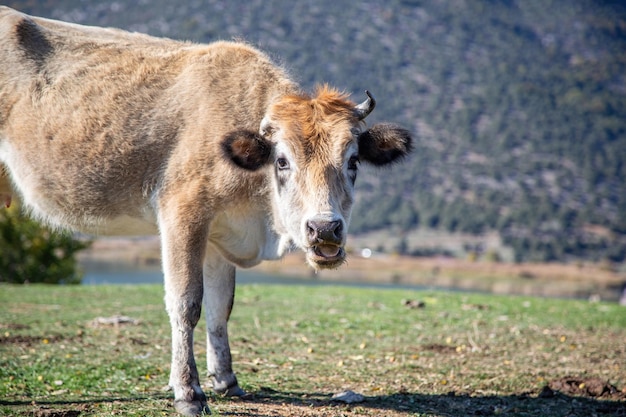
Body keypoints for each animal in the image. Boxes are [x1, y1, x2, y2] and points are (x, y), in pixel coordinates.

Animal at [0, 7, 412, 416]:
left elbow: (220, 307)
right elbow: (186, 303)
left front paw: (226, 380)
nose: (325, 229)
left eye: (353, 160)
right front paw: (188, 391)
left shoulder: (221, 232)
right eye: (282, 161)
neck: (260, 220)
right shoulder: (183, 213)